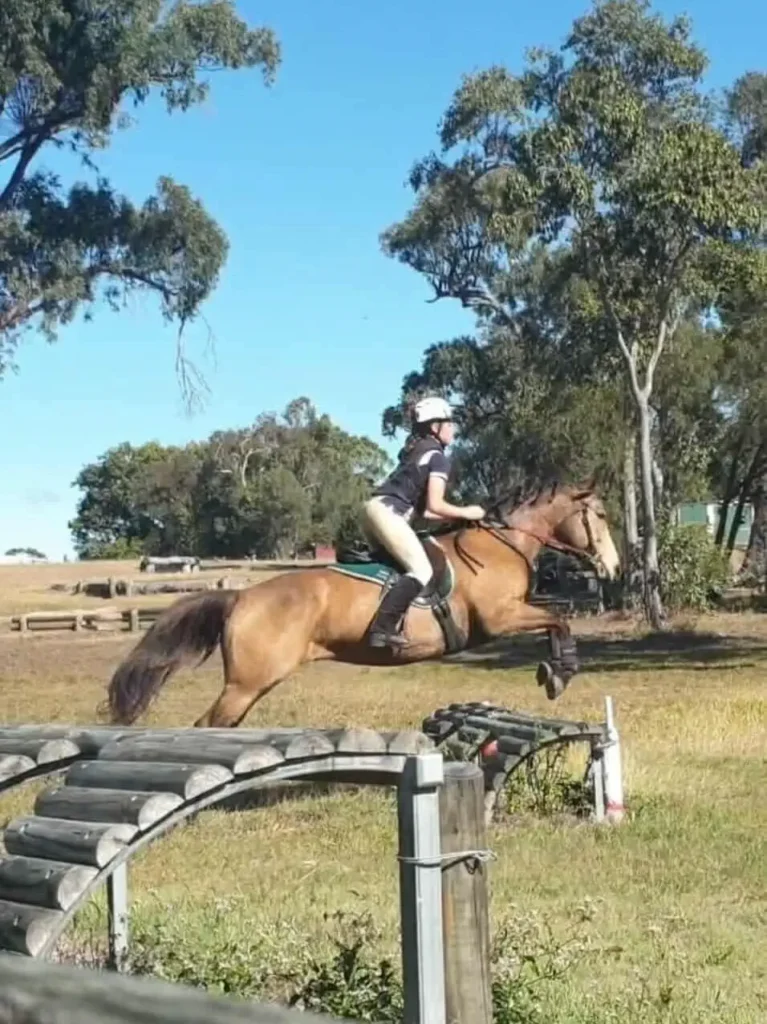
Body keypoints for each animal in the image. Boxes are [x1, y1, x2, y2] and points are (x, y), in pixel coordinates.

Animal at [106, 482, 621, 728]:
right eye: (598, 515)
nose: (614, 567)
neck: (502, 544)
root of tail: (242, 596)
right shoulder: (500, 618)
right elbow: (558, 619)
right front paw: (558, 674)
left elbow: (555, 620)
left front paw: (554, 671)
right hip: (248, 682)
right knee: (209, 723)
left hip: (255, 684)